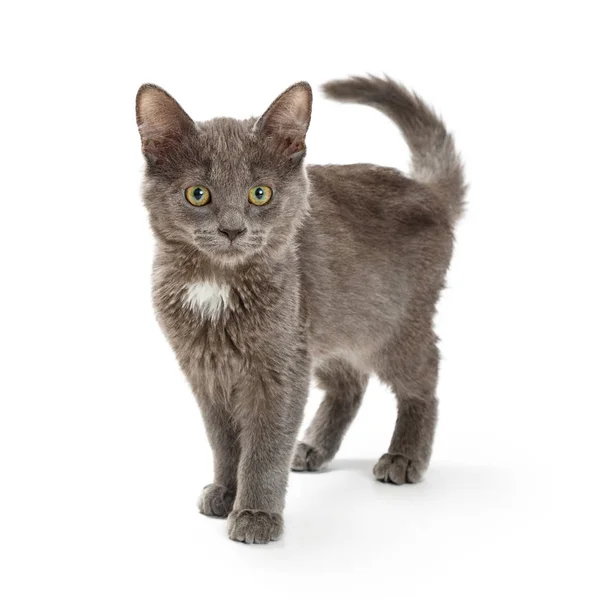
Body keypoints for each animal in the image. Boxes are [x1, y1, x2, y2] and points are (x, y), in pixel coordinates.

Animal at [135, 74, 464, 544]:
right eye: (198, 194)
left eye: (260, 193)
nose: (233, 229)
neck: (217, 283)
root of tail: (426, 191)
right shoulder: (206, 371)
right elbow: (223, 440)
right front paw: (225, 491)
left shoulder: (280, 366)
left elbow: (265, 444)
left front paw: (255, 514)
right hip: (328, 327)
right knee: (350, 383)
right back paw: (312, 447)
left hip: (390, 327)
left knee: (424, 380)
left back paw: (404, 457)